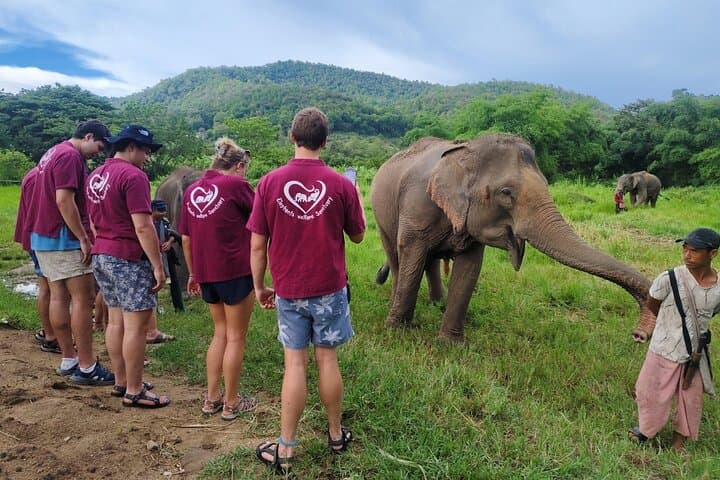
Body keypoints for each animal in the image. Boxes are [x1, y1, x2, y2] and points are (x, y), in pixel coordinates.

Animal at [370, 134, 653, 343]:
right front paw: (398, 332)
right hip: (381, 213)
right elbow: (412, 253)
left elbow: (469, 268)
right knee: (397, 255)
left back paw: (437, 303)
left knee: (428, 260)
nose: (639, 334)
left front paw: (450, 344)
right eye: (505, 192)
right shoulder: (416, 206)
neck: (467, 149)